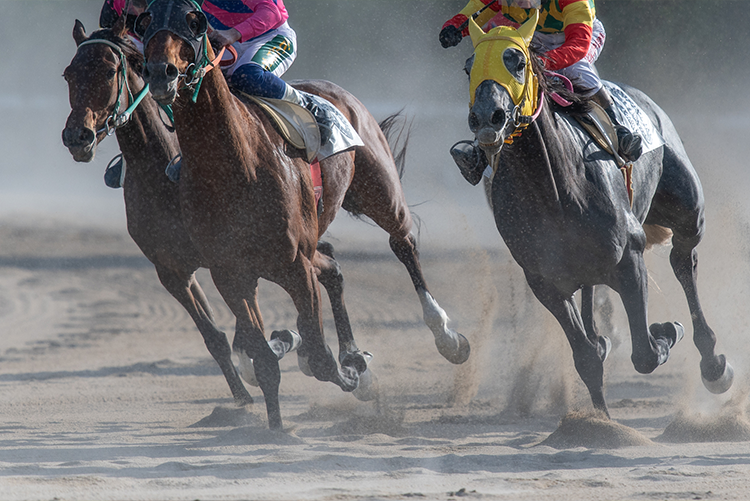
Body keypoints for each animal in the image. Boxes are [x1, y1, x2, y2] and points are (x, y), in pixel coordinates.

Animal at [62, 16, 258, 405]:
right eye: (68, 74)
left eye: (109, 71)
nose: (78, 136)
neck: (165, 170)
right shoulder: (172, 269)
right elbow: (214, 337)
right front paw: (243, 399)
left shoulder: (225, 256)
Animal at [135, 0, 470, 429]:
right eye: (145, 22)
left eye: (195, 22)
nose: (161, 72)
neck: (232, 166)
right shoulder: (231, 274)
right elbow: (264, 361)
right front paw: (276, 428)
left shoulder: (294, 265)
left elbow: (321, 357)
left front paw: (351, 370)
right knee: (333, 266)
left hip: (379, 190)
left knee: (403, 243)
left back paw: (446, 337)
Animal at [461, 13, 732, 417]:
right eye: (468, 67)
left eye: (517, 60)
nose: (486, 118)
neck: (556, 191)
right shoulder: (545, 281)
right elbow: (586, 358)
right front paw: (599, 419)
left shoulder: (629, 257)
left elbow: (645, 354)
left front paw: (667, 331)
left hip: (688, 212)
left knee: (685, 261)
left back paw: (713, 365)